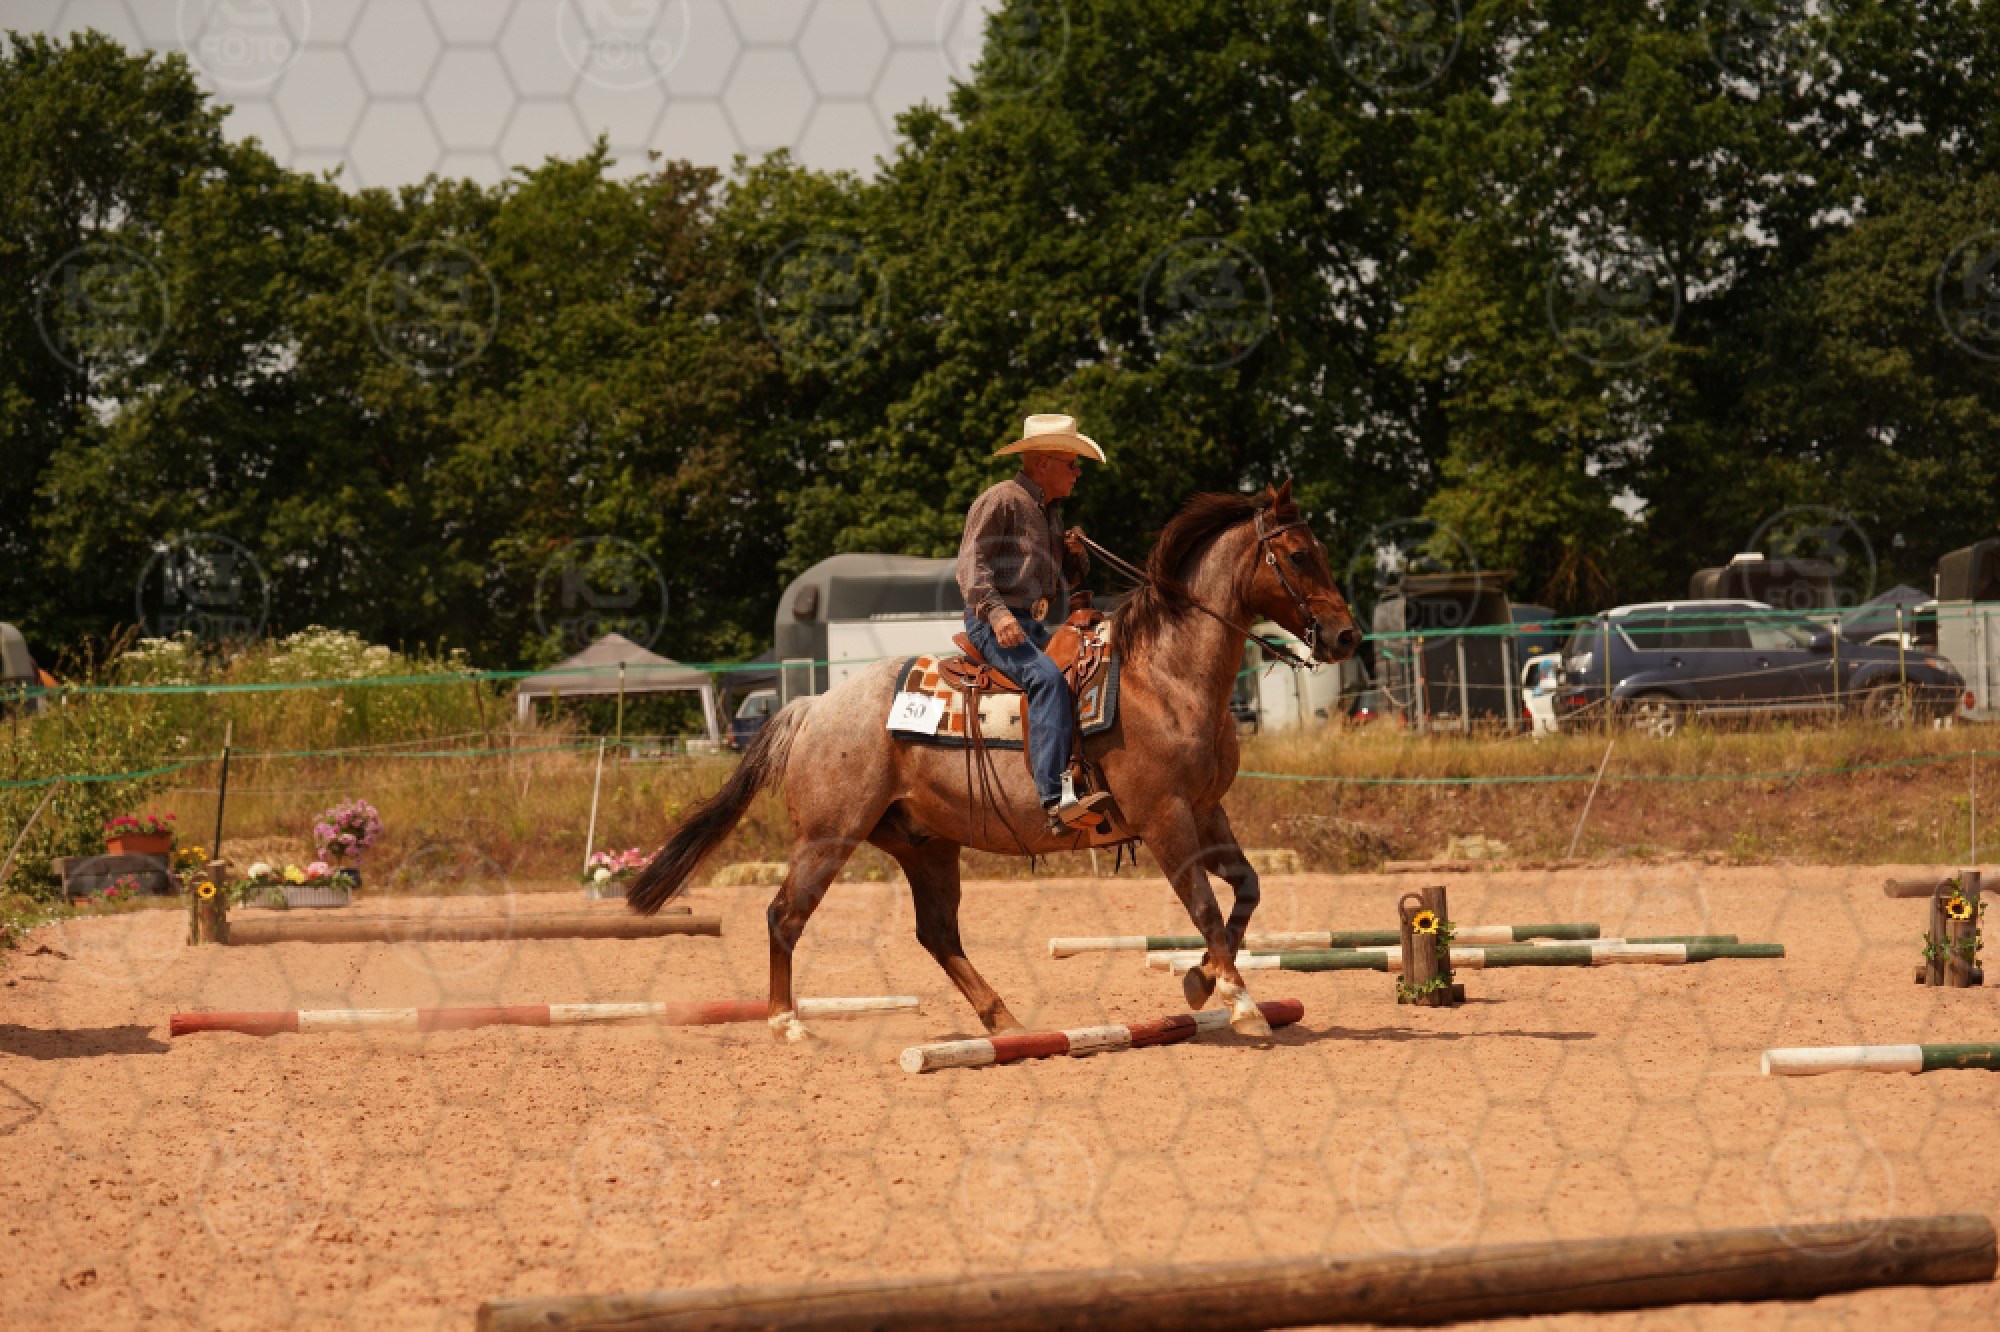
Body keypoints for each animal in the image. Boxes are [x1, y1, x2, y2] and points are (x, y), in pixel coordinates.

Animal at [628, 479, 1362, 1042]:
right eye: (1299, 554)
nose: (1345, 636)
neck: (1165, 678)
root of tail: (811, 705)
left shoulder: (1207, 812)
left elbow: (1246, 893)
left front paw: (1200, 978)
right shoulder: (1166, 819)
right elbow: (1206, 909)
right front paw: (1239, 1003)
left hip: (924, 843)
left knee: (936, 932)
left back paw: (1001, 1018)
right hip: (828, 836)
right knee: (785, 916)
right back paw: (789, 1025)